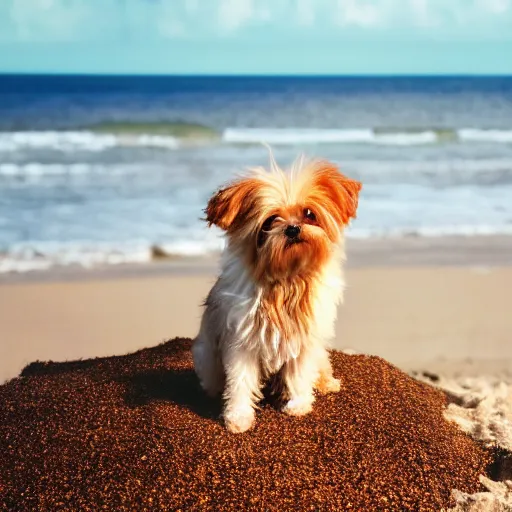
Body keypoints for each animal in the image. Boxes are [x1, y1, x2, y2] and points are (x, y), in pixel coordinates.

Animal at [190, 153, 362, 432]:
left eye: (309, 214)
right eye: (270, 221)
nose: (292, 228)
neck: (287, 278)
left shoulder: (305, 340)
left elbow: (300, 373)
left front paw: (299, 404)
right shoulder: (241, 341)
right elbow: (240, 380)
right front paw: (238, 416)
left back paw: (326, 382)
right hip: (208, 358)